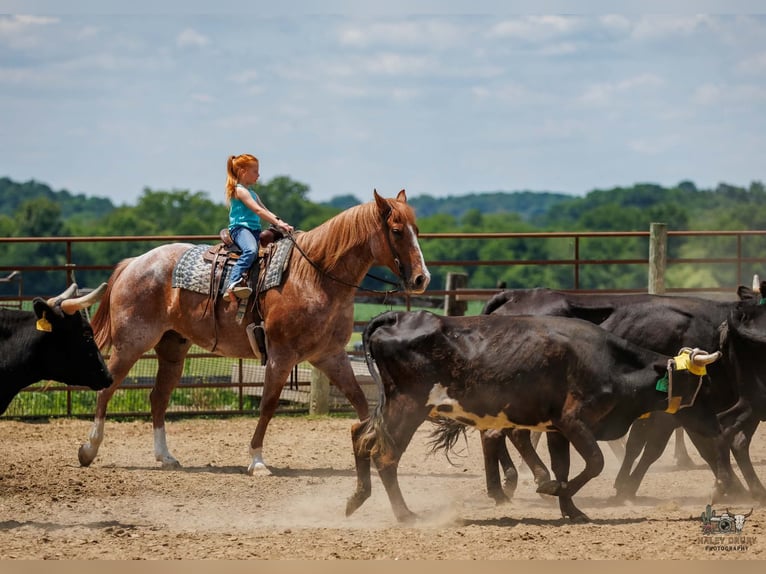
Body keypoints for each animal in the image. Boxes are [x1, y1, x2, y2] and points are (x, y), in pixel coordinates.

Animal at [77, 189, 430, 475]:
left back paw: (166, 457)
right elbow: (268, 405)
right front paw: (257, 462)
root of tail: (135, 262)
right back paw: (89, 450)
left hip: (172, 348)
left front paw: (376, 447)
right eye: (396, 231)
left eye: (416, 230)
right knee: (107, 389)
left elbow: (360, 401)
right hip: (131, 343)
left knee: (158, 397)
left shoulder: (330, 355)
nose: (421, 278)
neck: (314, 277)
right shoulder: (280, 356)